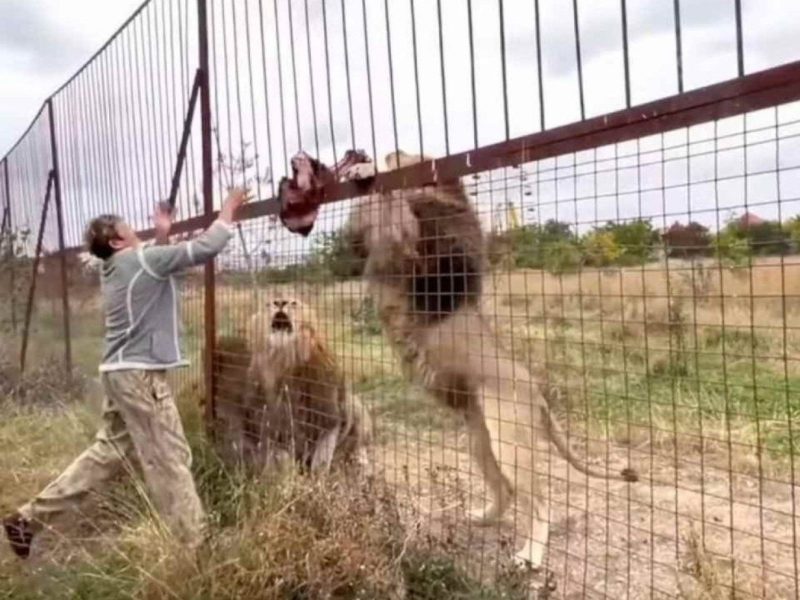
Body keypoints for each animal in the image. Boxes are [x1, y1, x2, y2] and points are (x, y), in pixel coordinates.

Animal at [245, 298, 374, 472]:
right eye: (269, 303)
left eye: (294, 303)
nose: (280, 302)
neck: (284, 359)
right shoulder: (263, 416)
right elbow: (277, 453)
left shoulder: (329, 414)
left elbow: (321, 458)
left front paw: (316, 477)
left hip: (355, 407)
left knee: (359, 444)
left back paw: (359, 461)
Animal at [338, 149, 636, 568]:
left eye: (404, 156)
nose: (383, 153)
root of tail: (538, 395)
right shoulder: (371, 243)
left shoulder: (405, 245)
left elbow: (392, 205)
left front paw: (367, 171)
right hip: (480, 441)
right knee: (505, 491)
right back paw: (481, 517)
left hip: (511, 441)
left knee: (540, 504)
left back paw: (529, 557)